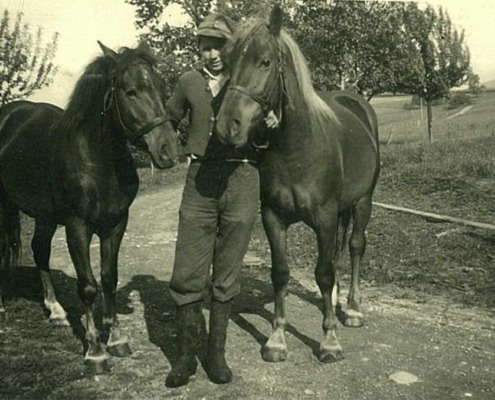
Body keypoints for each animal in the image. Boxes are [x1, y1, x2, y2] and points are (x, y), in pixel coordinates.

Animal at [215, 5, 382, 362]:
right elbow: (281, 273)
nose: (227, 126)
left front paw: (329, 340)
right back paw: (333, 302)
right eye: (228, 62)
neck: (297, 149)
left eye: (265, 61)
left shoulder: (325, 217)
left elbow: (323, 272)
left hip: (362, 202)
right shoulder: (273, 218)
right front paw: (277, 339)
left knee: (355, 247)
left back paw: (352, 309)